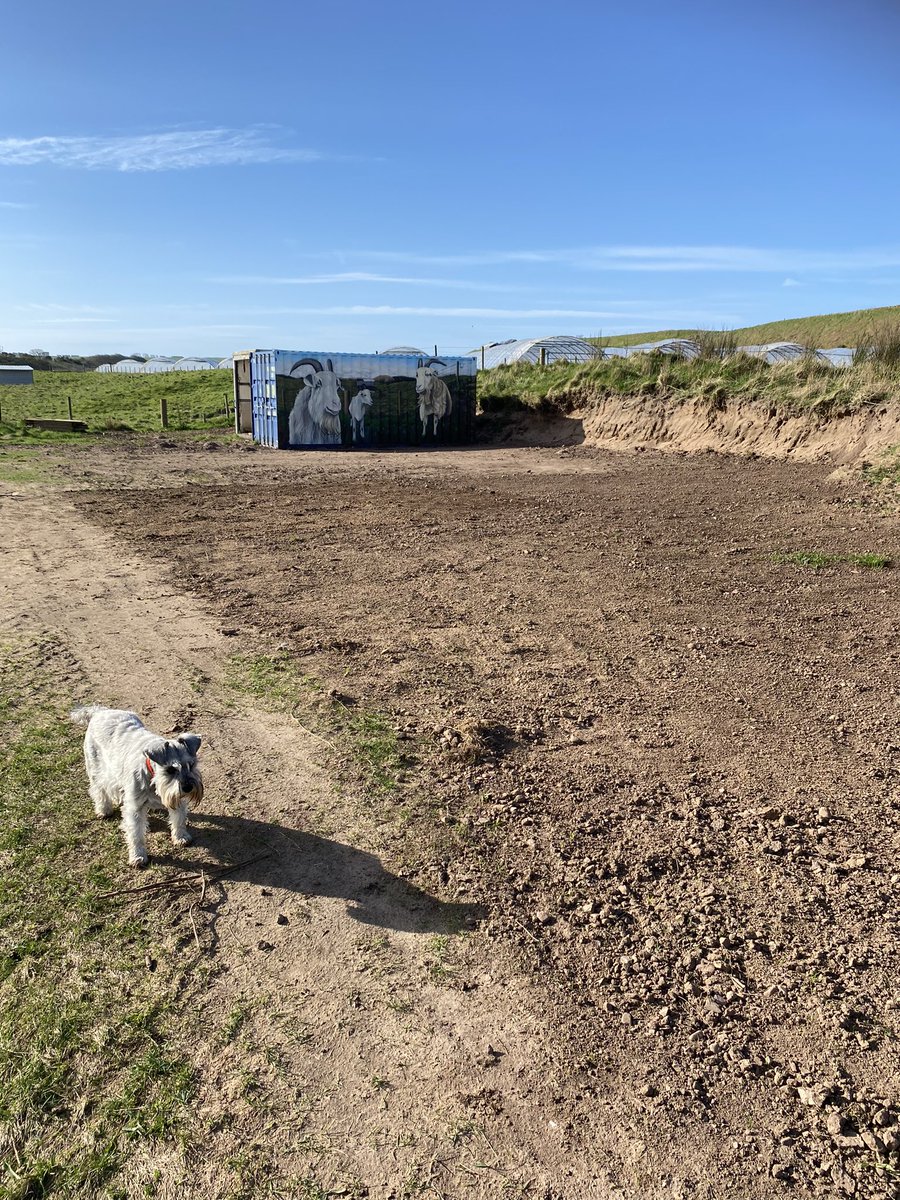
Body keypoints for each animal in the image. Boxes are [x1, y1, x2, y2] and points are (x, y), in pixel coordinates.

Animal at [70, 705, 204, 868]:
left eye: (191, 764)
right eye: (170, 769)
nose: (188, 787)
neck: (152, 776)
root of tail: (99, 711)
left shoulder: (176, 798)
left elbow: (179, 819)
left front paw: (180, 836)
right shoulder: (135, 808)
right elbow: (136, 834)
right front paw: (138, 856)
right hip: (96, 769)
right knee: (99, 789)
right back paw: (104, 809)